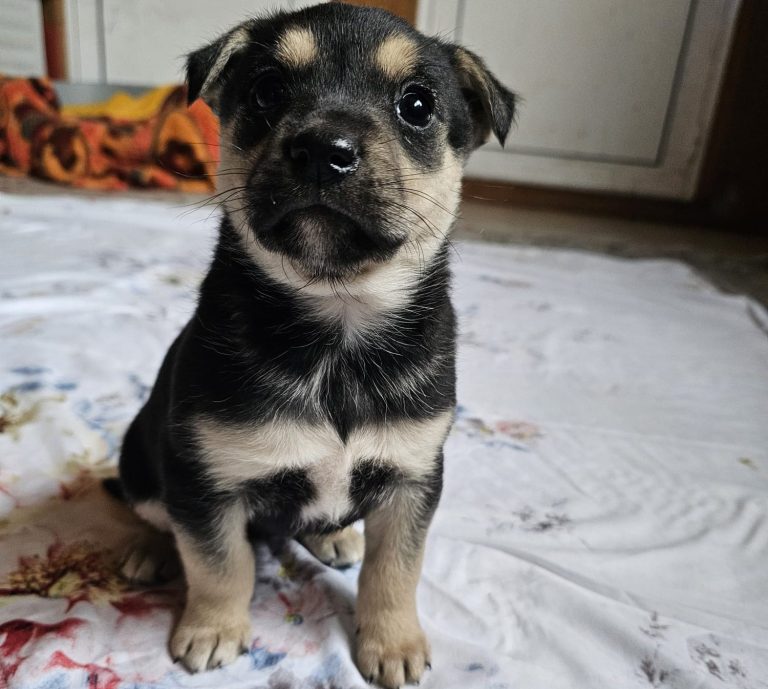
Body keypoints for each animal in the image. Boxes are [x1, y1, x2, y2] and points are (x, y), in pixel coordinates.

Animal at [109, 3, 515, 687]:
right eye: (267, 91)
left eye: (417, 105)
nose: (325, 150)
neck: (338, 325)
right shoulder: (204, 480)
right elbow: (220, 563)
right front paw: (213, 629)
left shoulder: (413, 478)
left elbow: (396, 569)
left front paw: (393, 642)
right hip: (140, 454)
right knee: (150, 513)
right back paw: (145, 552)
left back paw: (335, 537)